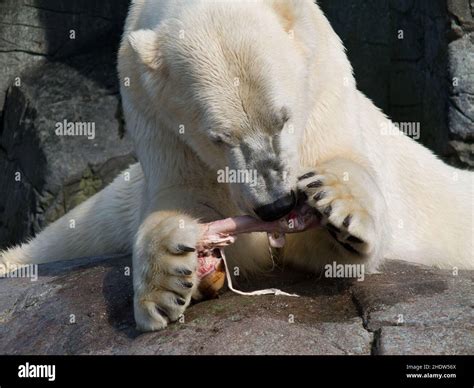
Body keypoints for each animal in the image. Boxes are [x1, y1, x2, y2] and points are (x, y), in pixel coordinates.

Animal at [0, 0, 474, 332]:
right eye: (219, 137)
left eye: (283, 118)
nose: (277, 205)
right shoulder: (155, 116)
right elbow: (181, 199)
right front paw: (167, 282)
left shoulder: (323, 81)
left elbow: (344, 176)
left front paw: (335, 206)